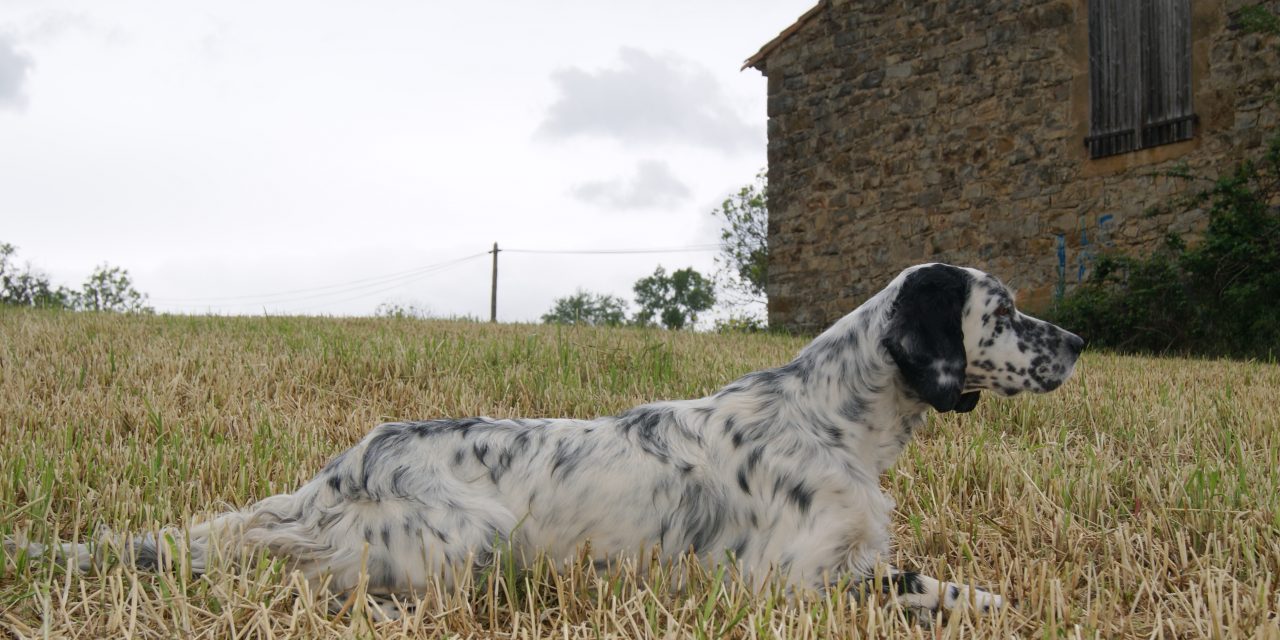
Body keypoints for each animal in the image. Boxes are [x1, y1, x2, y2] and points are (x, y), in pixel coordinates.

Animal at [17, 263, 1080, 614]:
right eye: (1004, 311)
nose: (1076, 342)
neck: (832, 421)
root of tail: (336, 473)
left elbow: (950, 583)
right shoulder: (790, 584)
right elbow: (919, 591)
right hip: (470, 535)